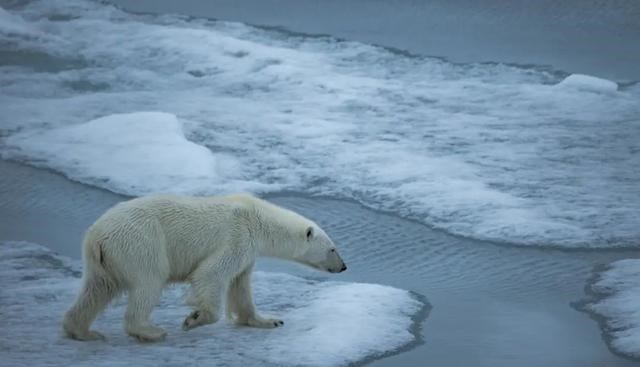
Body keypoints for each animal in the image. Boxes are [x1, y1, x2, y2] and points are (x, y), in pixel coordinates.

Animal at [62, 194, 348, 344]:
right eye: (333, 249)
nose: (344, 266)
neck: (256, 218)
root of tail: (97, 236)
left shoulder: (247, 253)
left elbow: (241, 286)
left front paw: (269, 320)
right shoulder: (236, 237)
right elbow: (210, 274)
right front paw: (194, 318)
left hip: (104, 260)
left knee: (97, 289)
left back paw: (83, 331)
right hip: (140, 243)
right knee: (149, 282)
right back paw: (150, 331)